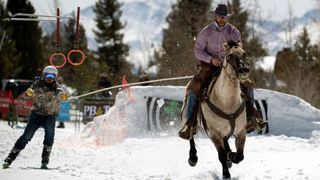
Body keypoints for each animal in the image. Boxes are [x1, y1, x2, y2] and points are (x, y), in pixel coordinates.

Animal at [188, 41, 250, 179]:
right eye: (230, 56)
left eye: (244, 54)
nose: (244, 70)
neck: (227, 103)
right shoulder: (214, 134)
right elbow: (221, 156)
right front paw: (226, 174)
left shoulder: (241, 132)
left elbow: (240, 156)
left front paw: (231, 156)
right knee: (190, 135)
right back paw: (193, 158)